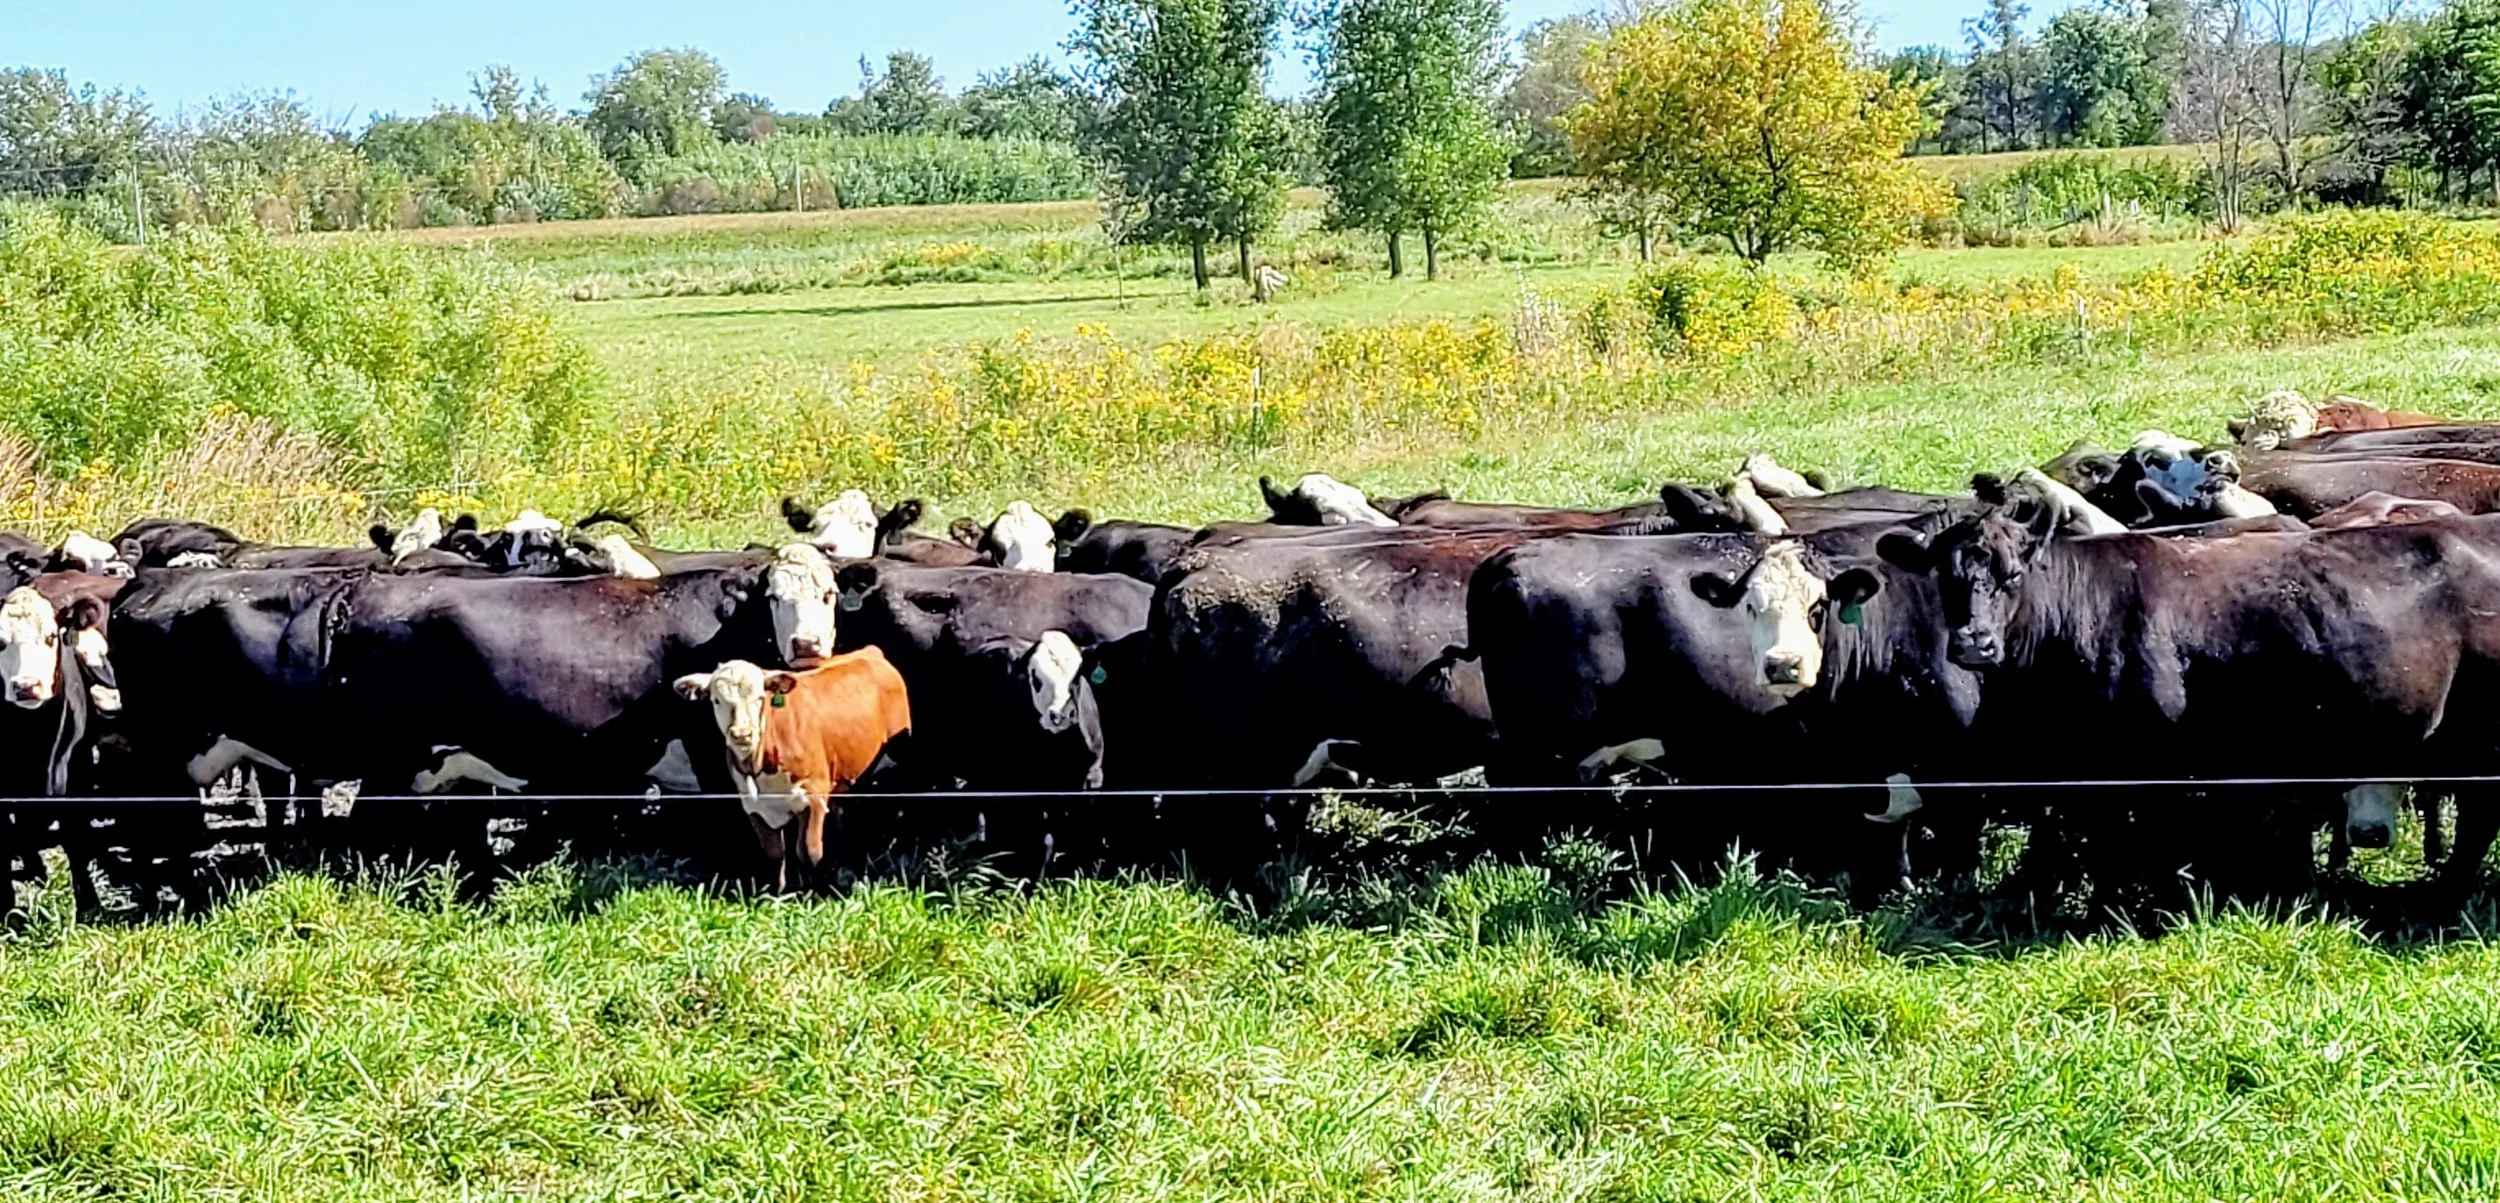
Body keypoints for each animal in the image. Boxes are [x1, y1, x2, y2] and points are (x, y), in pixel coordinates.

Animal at [674, 650, 911, 890]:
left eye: (760, 698)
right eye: (716, 700)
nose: (742, 734)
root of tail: (870, 651)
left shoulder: (813, 796)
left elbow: (809, 852)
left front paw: (816, 892)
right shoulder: (755, 807)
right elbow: (775, 855)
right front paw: (776, 894)